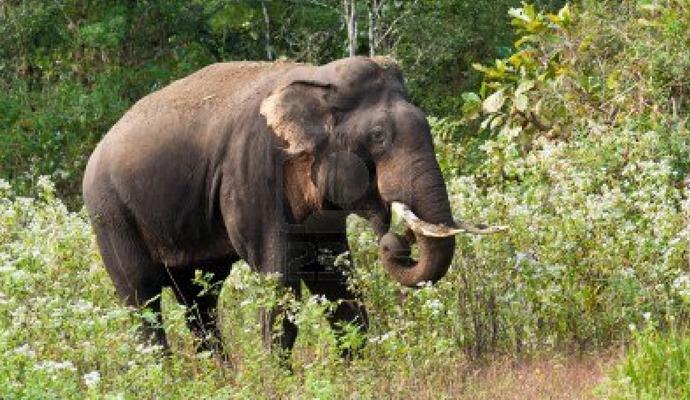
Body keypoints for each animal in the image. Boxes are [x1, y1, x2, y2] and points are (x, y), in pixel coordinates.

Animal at [84, 55, 462, 360]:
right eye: (378, 136)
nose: (393, 240)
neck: (317, 78)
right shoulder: (253, 173)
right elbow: (278, 276)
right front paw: (279, 376)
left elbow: (332, 277)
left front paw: (357, 369)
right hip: (110, 214)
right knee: (141, 296)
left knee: (198, 297)